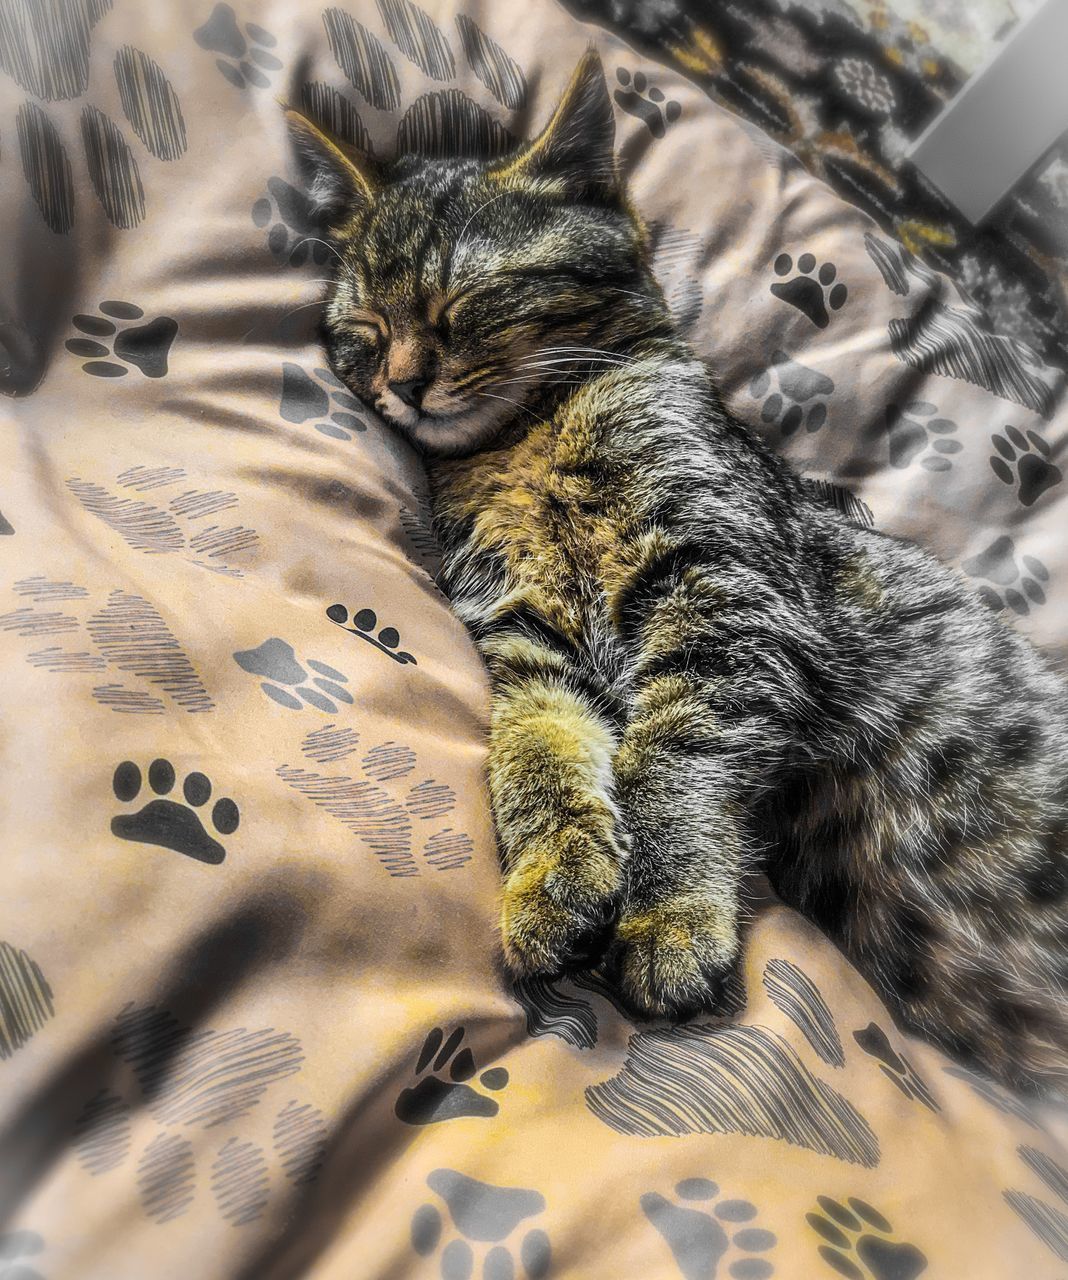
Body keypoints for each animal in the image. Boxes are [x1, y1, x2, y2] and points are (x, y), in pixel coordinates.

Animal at [285, 49, 1065, 1090]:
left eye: (466, 302)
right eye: (365, 329)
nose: (399, 385)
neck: (528, 440)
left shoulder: (725, 596)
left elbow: (669, 762)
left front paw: (671, 914)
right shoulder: (529, 642)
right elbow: (532, 755)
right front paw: (553, 878)